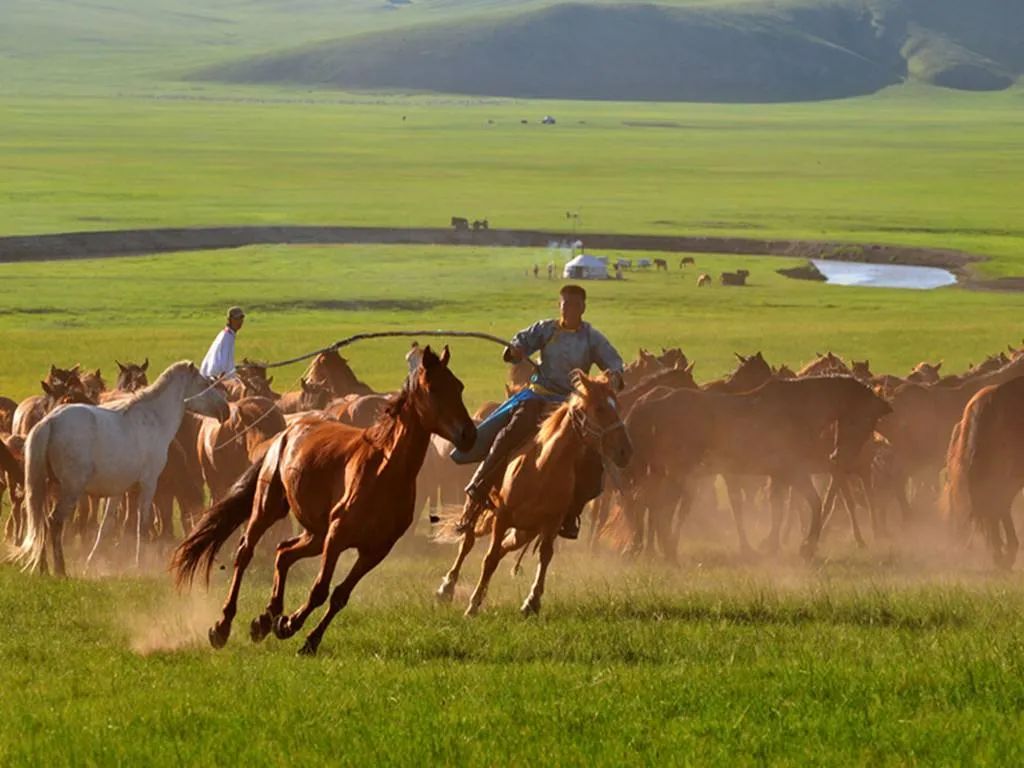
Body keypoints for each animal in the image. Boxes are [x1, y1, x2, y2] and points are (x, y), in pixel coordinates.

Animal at [9, 362, 227, 577]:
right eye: (204, 383)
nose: (225, 409)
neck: (153, 419)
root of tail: (50, 421)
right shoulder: (149, 484)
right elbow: (141, 525)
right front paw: (139, 564)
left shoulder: (117, 491)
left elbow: (107, 525)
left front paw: (91, 562)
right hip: (70, 489)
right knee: (54, 522)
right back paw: (60, 570)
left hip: (46, 487)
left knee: (40, 521)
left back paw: (43, 568)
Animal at [172, 348, 475, 655]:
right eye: (434, 388)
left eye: (459, 387)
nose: (469, 435)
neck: (385, 470)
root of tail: (287, 432)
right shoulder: (337, 536)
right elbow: (320, 589)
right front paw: (289, 624)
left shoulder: (375, 550)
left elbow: (340, 595)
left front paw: (306, 637)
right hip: (270, 509)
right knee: (245, 552)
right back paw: (223, 626)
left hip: (316, 534)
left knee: (284, 553)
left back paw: (265, 619)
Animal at [434, 370, 630, 618]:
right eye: (599, 408)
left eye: (617, 406)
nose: (625, 451)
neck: (543, 467)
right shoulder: (502, 517)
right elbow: (489, 559)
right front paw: (473, 605)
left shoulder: (552, 523)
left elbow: (545, 556)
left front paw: (531, 602)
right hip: (484, 510)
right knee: (468, 541)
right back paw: (447, 587)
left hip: (524, 531)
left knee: (504, 548)